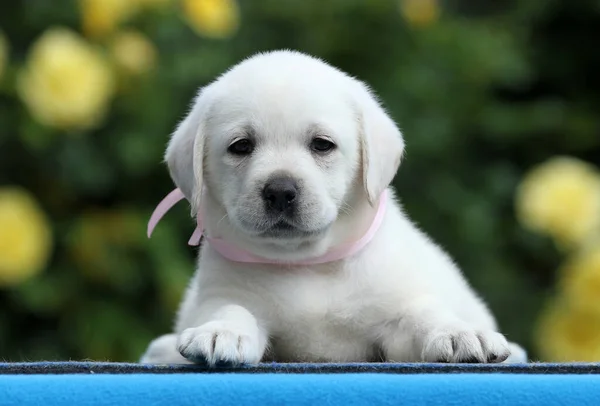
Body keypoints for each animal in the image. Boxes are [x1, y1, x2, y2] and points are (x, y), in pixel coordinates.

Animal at [139, 50, 524, 364]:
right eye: (241, 146)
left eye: (322, 144)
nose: (280, 190)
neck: (308, 264)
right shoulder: (224, 293)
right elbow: (231, 308)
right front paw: (220, 331)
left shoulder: (396, 316)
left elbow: (423, 314)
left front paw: (459, 333)